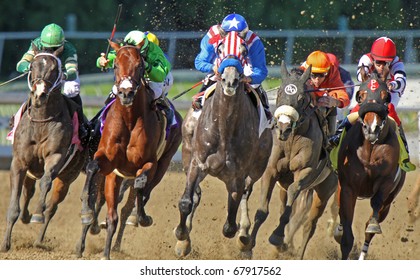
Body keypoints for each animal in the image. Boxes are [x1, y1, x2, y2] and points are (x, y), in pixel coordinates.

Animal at [0, 45, 87, 252]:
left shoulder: (55, 156)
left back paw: (39, 238)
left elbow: (46, 182)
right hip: (32, 171)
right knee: (28, 191)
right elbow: (14, 206)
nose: (40, 94)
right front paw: (5, 244)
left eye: (55, 68)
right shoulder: (19, 163)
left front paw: (37, 214)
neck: (41, 121)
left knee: (52, 208)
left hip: (67, 177)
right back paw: (25, 217)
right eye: (33, 66)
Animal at [79, 42, 183, 260]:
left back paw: (135, 219)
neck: (129, 119)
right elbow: (93, 169)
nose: (126, 93)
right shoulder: (108, 163)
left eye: (140, 65)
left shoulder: (148, 164)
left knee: (141, 192)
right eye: (115, 65)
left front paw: (141, 217)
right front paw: (87, 213)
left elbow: (141, 185)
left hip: (163, 164)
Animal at [174, 31, 272, 258]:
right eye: (219, 49)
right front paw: (182, 236)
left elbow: (230, 221)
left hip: (257, 167)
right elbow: (186, 201)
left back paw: (244, 238)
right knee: (196, 195)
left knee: (245, 194)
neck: (225, 128)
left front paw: (241, 235)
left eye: (244, 51)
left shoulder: (238, 174)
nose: (230, 80)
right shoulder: (197, 163)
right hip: (188, 152)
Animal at [249, 62, 338, 260]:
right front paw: (246, 244)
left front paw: (276, 236)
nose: (283, 127)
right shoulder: (271, 170)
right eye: (279, 92)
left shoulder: (305, 172)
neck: (291, 139)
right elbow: (262, 211)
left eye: (301, 97)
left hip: (325, 190)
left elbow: (292, 197)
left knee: (309, 225)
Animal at [334, 71, 406, 260]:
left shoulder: (387, 182)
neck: (370, 147)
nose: (371, 128)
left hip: (390, 200)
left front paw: (373, 225)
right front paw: (342, 235)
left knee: (370, 228)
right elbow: (346, 232)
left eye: (385, 96)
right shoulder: (348, 187)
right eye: (362, 95)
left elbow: (375, 205)